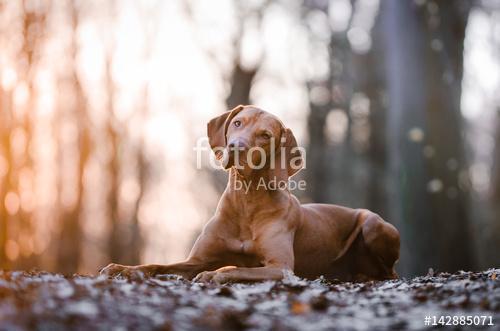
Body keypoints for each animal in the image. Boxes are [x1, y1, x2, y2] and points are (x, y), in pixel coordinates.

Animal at [99, 105, 400, 282]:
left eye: (265, 135)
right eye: (237, 123)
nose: (235, 147)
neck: (246, 201)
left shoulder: (281, 267)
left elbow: (236, 268)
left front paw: (214, 275)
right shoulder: (194, 260)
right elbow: (157, 265)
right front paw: (121, 268)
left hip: (374, 224)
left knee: (390, 272)